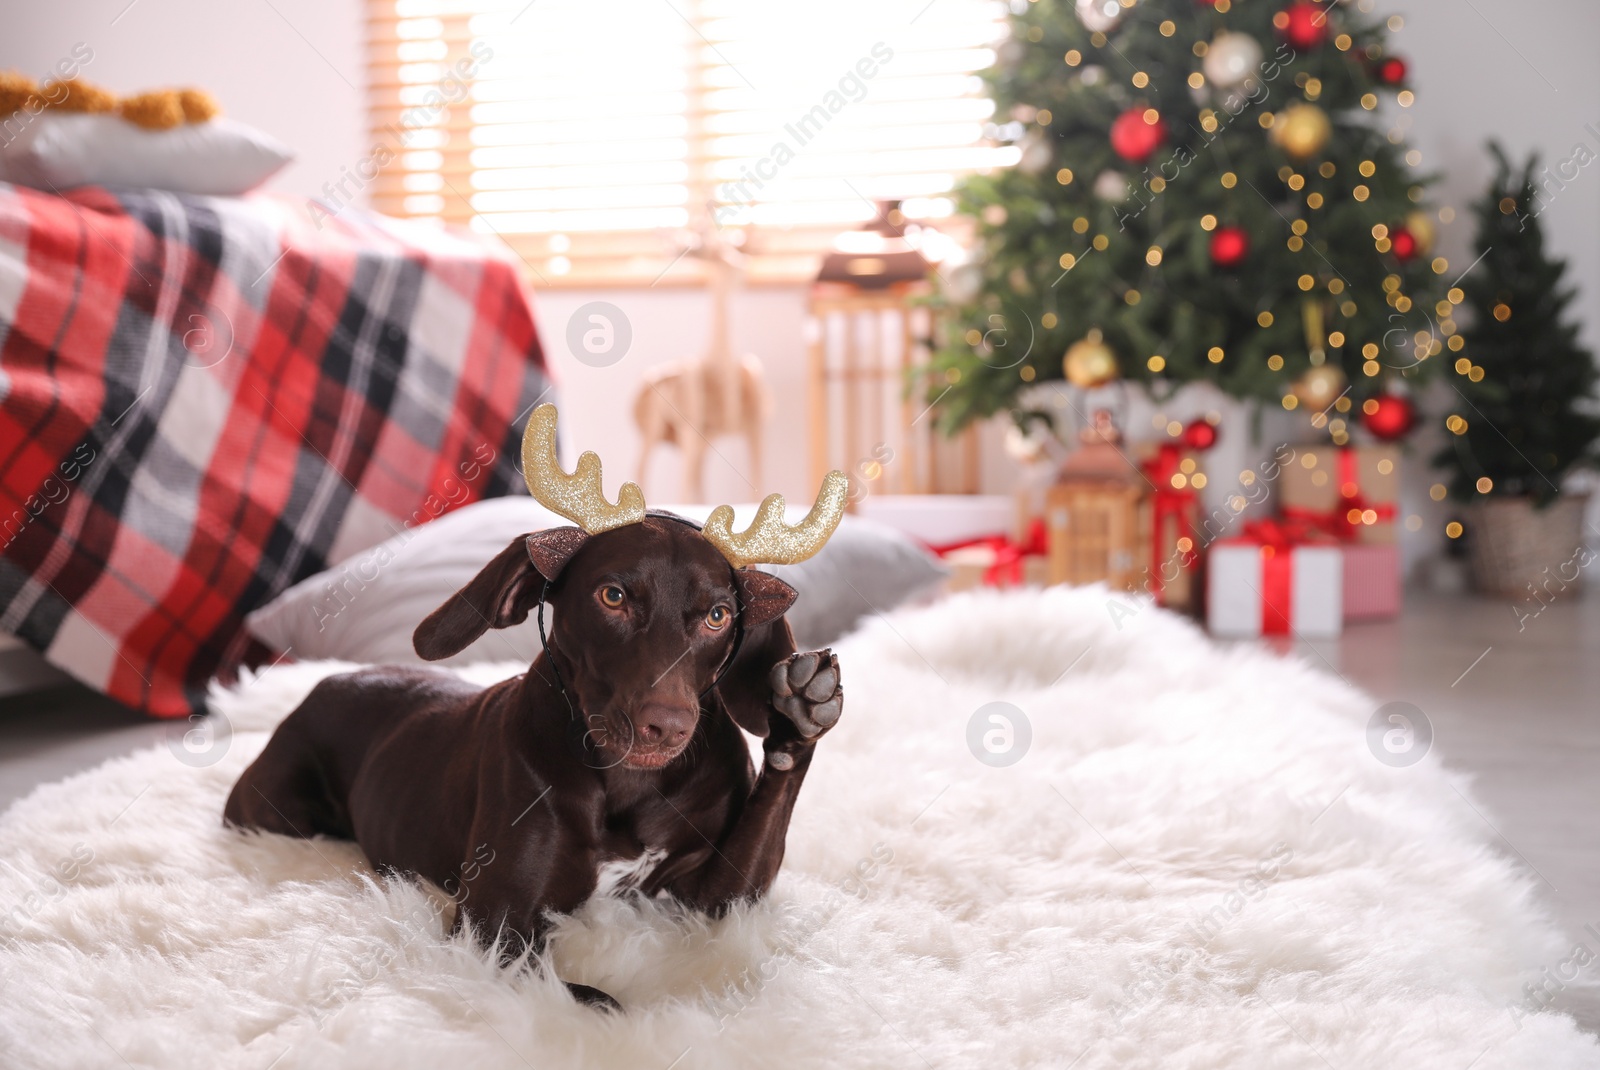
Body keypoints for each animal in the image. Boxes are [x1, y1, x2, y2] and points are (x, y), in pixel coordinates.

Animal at [232, 511, 851, 1004]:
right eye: (613, 597)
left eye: (718, 616)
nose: (668, 727)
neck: (627, 782)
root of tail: (327, 680)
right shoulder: (493, 926)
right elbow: (602, 999)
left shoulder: (711, 901)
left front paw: (801, 711)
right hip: (273, 812)